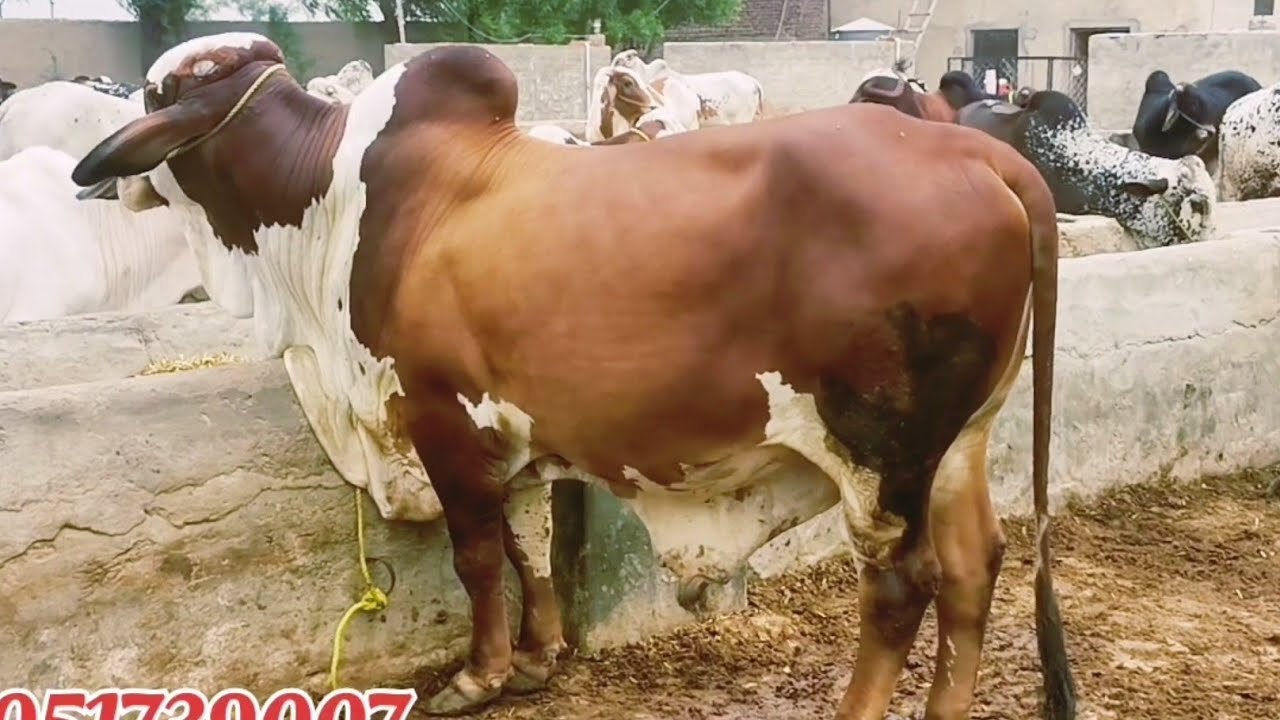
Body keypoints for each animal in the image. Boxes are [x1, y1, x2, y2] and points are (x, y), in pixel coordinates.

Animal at [71, 33, 1077, 720]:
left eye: (157, 90)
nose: (112, 178)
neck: (324, 208)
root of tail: (984, 153)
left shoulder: (439, 416)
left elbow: (477, 556)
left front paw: (480, 674)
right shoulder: (512, 430)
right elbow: (526, 546)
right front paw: (538, 656)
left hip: (879, 450)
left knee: (902, 586)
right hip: (958, 442)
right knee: (973, 565)